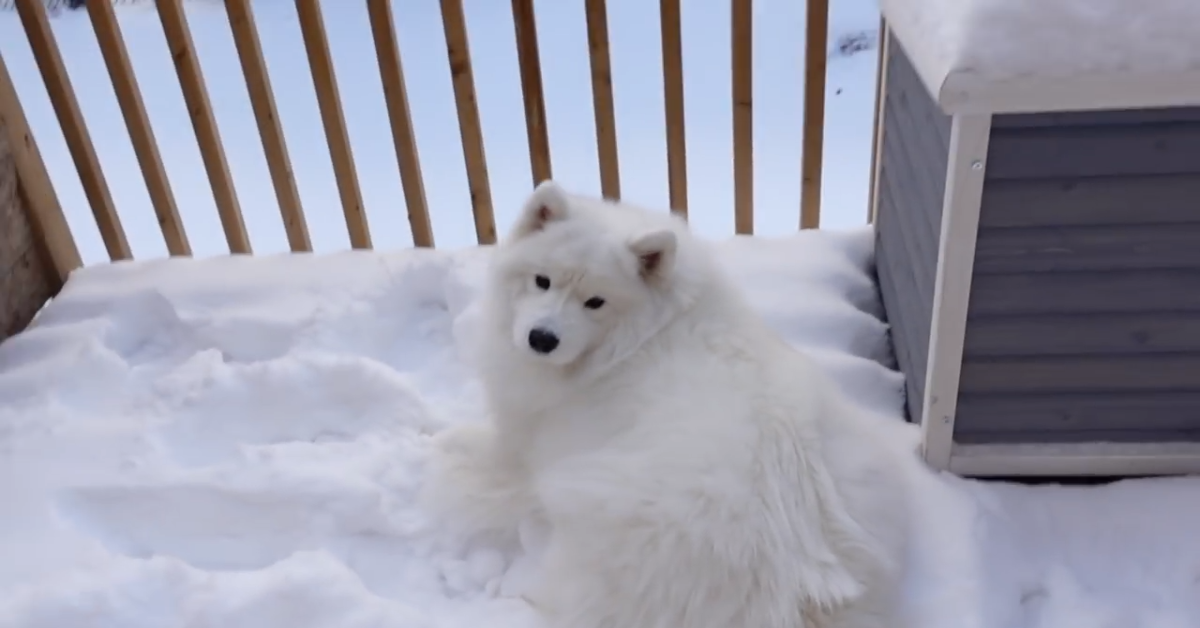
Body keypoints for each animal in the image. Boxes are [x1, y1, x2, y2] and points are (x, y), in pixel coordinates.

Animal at [420, 181, 907, 628]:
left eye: (595, 302)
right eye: (542, 281)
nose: (541, 339)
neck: (647, 330)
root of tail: (793, 592)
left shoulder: (524, 435)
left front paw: (438, 441)